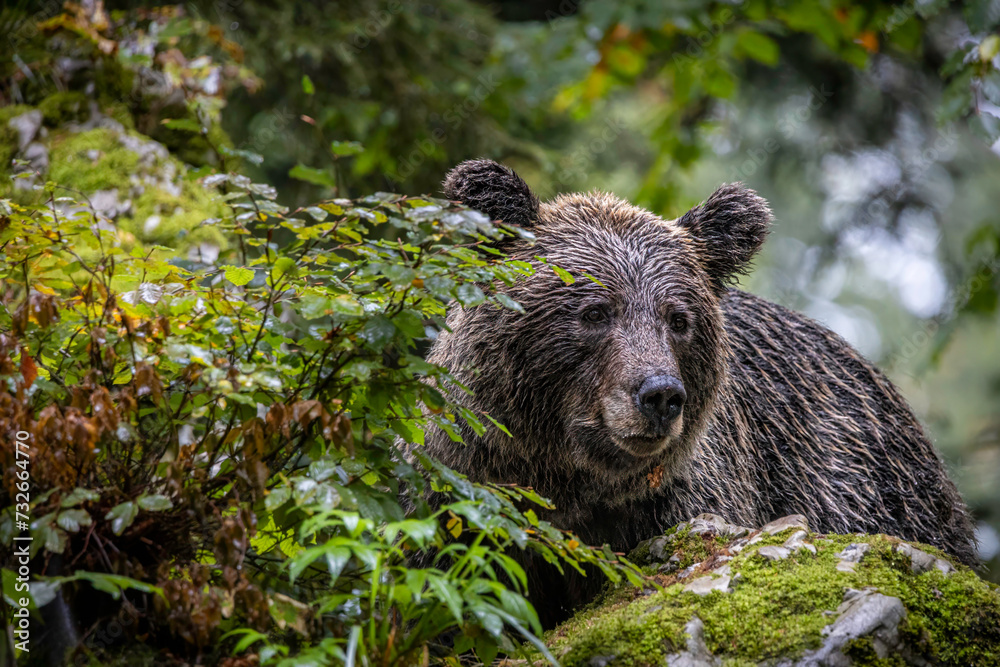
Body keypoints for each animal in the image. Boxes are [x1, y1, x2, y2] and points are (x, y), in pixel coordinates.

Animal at [419, 158, 977, 627]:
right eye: (595, 311)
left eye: (678, 319)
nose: (660, 394)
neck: (568, 481)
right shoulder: (460, 495)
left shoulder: (686, 500)